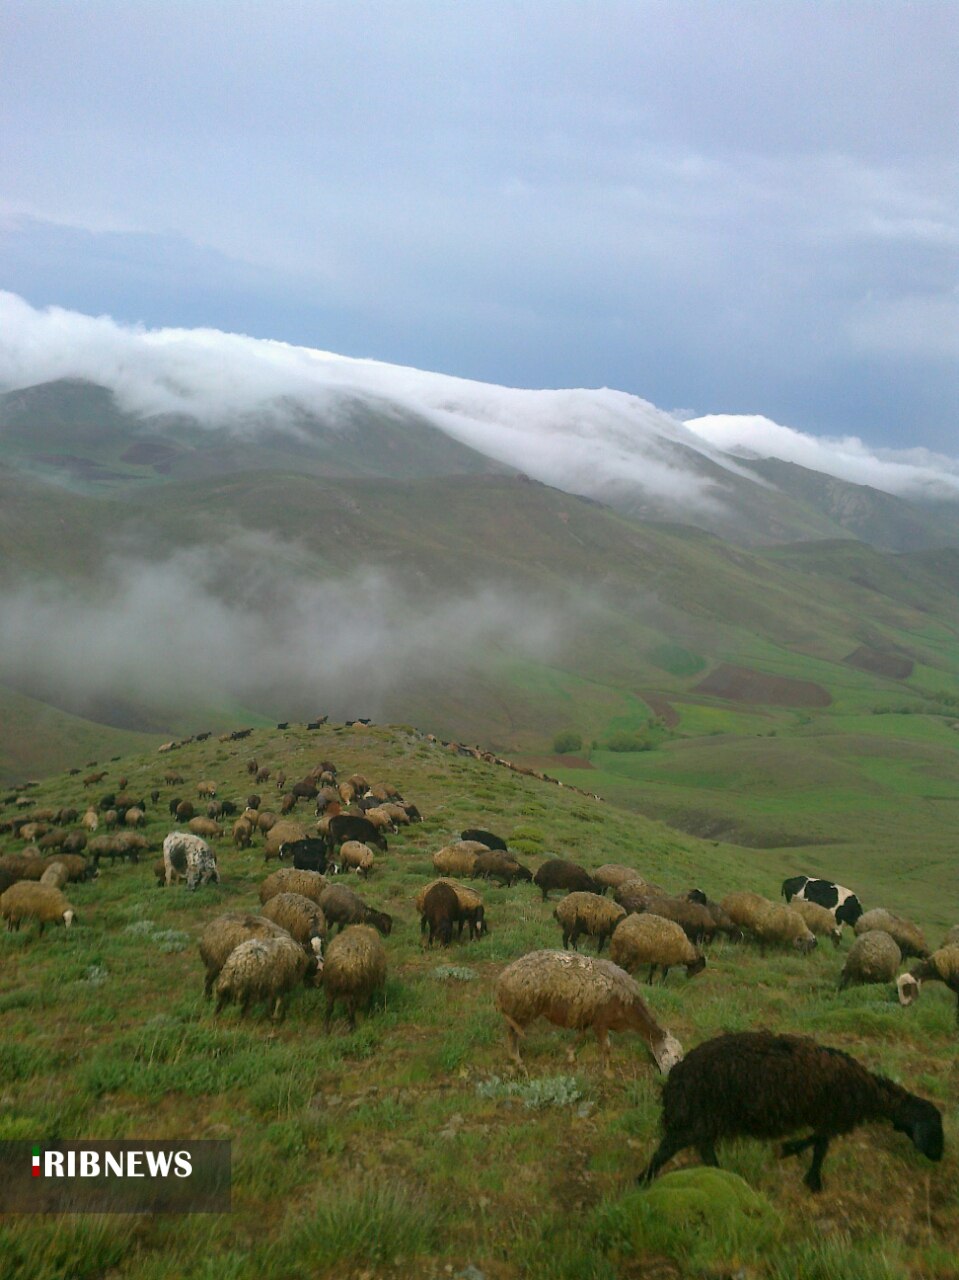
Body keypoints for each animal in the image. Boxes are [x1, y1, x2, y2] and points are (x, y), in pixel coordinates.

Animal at [494, 952, 681, 1080]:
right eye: (674, 1056)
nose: (670, 1078)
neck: (629, 1007)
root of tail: (503, 977)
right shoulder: (601, 1021)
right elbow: (606, 1047)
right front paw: (607, 1072)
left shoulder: (589, 1016)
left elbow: (581, 1035)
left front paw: (570, 1054)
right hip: (524, 1009)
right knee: (512, 1035)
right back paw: (518, 1062)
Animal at [635, 1024, 942, 1192]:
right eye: (934, 1127)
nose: (938, 1157)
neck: (869, 1094)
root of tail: (678, 1074)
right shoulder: (832, 1116)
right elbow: (820, 1145)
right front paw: (808, 1172)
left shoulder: (826, 1117)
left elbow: (818, 1141)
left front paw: (794, 1154)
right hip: (701, 1115)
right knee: (670, 1146)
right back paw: (644, 1178)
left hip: (706, 1118)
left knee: (701, 1146)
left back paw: (721, 1174)